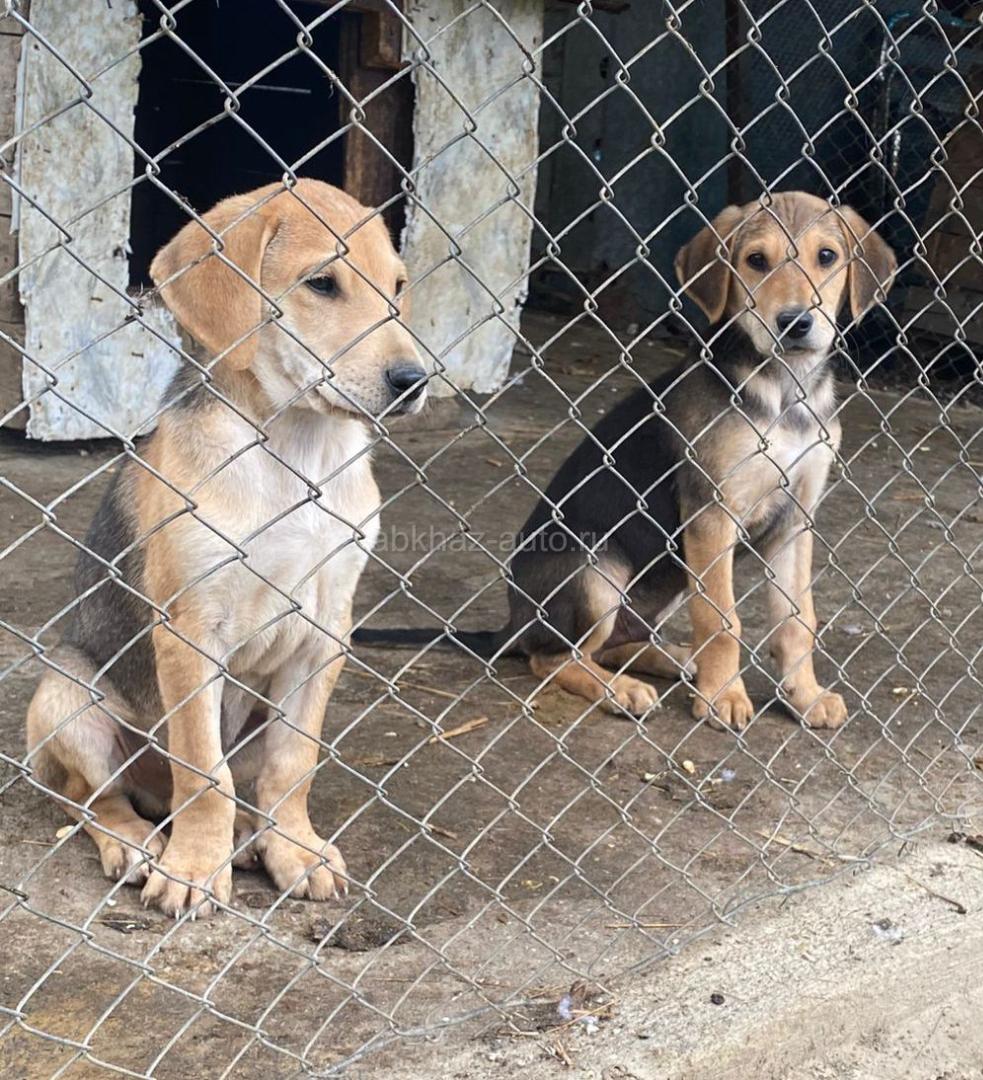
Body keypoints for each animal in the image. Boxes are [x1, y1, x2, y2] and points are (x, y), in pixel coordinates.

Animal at [25, 179, 427, 917]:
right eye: (321, 283)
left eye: (397, 288)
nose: (414, 380)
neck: (296, 450)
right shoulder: (190, 631)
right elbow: (202, 771)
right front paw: (191, 869)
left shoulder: (326, 630)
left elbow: (292, 765)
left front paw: (295, 850)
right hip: (69, 697)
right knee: (91, 799)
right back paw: (138, 844)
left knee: (236, 787)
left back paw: (247, 837)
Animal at [354, 192, 895, 732]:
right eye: (756, 260)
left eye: (827, 257)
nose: (795, 322)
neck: (785, 388)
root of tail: (516, 623)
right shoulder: (711, 512)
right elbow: (721, 619)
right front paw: (722, 696)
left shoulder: (795, 519)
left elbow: (796, 619)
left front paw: (804, 695)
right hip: (599, 570)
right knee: (552, 658)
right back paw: (622, 689)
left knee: (612, 644)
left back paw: (673, 659)